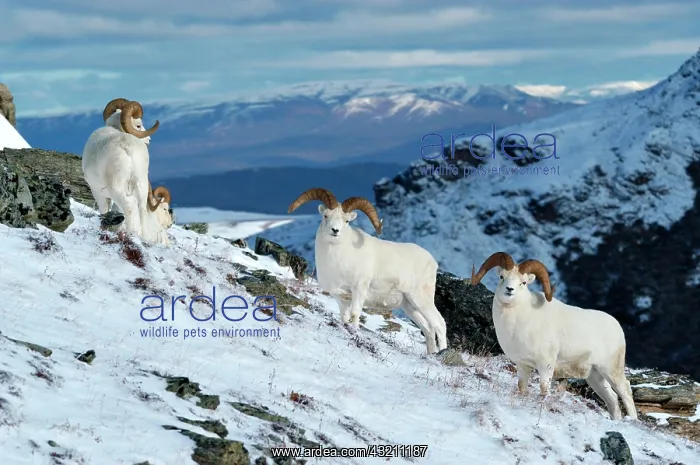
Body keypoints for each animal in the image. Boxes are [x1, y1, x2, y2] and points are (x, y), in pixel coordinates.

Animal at [82, 98, 172, 245]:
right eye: (139, 125)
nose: (149, 140)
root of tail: (127, 147)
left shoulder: (98, 192)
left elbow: (104, 211)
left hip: (116, 188)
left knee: (129, 207)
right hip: (141, 183)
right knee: (141, 209)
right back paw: (142, 237)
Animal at [287, 188, 448, 354]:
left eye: (346, 221)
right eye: (326, 216)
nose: (335, 230)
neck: (337, 258)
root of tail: (432, 262)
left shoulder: (359, 290)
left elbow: (354, 314)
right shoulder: (339, 296)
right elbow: (344, 317)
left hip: (421, 299)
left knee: (439, 323)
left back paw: (442, 353)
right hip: (410, 307)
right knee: (428, 329)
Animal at [470, 251, 637, 420]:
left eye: (523, 282)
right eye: (502, 277)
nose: (509, 290)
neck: (518, 321)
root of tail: (617, 327)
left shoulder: (546, 365)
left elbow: (544, 389)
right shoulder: (523, 365)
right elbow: (522, 387)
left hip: (611, 370)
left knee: (626, 392)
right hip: (594, 376)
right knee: (612, 398)